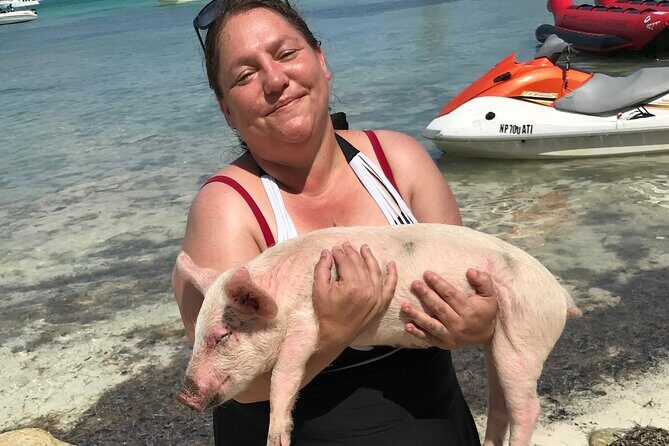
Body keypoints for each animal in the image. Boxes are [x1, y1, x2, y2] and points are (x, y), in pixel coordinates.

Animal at [176, 223, 581, 446]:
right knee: (501, 404)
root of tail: (561, 296)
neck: (281, 289)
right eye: (196, 334)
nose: (184, 395)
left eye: (222, 335)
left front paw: (277, 440)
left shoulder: (307, 323)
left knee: (528, 407)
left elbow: (284, 374)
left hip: (524, 334)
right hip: (497, 343)